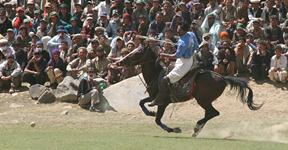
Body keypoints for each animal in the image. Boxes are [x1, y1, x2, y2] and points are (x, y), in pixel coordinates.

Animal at [116, 45, 262, 136]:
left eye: (137, 53)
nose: (120, 62)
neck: (156, 74)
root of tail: (223, 77)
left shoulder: (163, 102)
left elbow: (157, 120)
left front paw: (174, 129)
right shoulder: (153, 97)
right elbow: (141, 103)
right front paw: (150, 112)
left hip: (203, 100)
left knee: (213, 113)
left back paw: (196, 128)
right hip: (205, 101)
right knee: (211, 113)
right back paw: (197, 129)